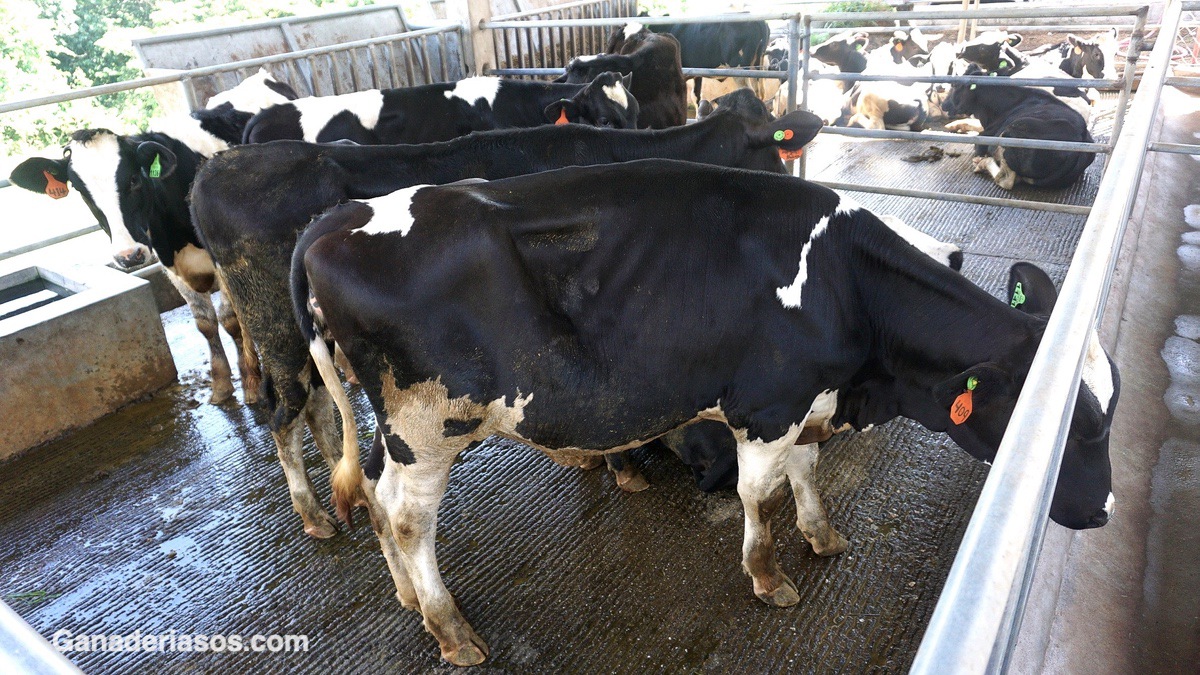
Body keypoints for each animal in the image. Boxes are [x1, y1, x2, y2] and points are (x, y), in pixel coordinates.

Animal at [6, 71, 298, 406]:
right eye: (80, 190)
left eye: (134, 179)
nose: (128, 255)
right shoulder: (171, 267)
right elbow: (205, 323)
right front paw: (222, 383)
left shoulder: (222, 261)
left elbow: (230, 317)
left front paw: (250, 379)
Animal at [189, 107, 824, 536]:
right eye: (775, 152)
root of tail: (219, 165)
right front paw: (621, 467)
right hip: (279, 332)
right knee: (286, 415)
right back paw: (314, 514)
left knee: (320, 411)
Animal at [292, 159, 1116, 666]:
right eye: (1076, 425)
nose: (1105, 510)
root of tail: (339, 216)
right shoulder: (767, 401)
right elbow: (759, 492)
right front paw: (767, 574)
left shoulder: (809, 397)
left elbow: (807, 471)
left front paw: (822, 536)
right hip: (430, 426)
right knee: (407, 517)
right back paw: (450, 626)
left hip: (397, 429)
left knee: (373, 491)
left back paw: (407, 594)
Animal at [940, 73, 1096, 190]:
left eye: (954, 86)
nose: (943, 105)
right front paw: (954, 125)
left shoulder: (984, 137)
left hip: (1011, 132)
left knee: (1006, 180)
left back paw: (982, 163)